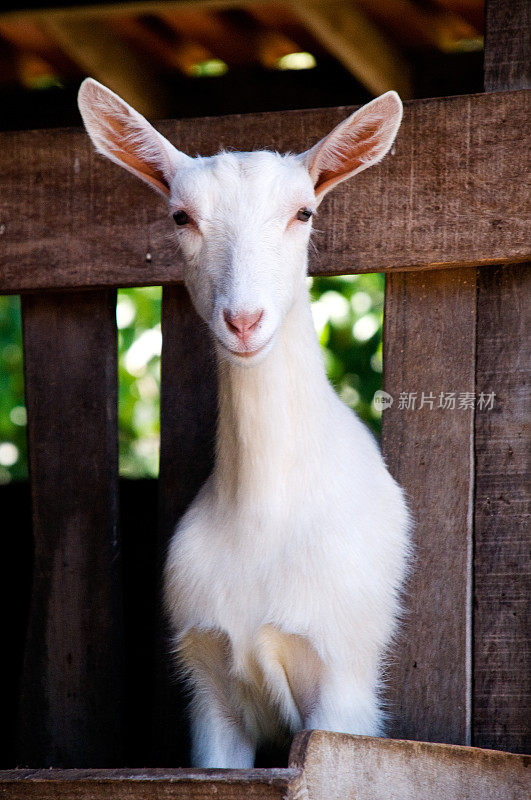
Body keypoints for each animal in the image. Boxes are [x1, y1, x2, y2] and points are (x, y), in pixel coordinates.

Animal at [78, 79, 412, 768]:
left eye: (303, 213)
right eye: (181, 217)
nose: (244, 321)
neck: (263, 515)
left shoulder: (344, 686)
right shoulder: (210, 694)